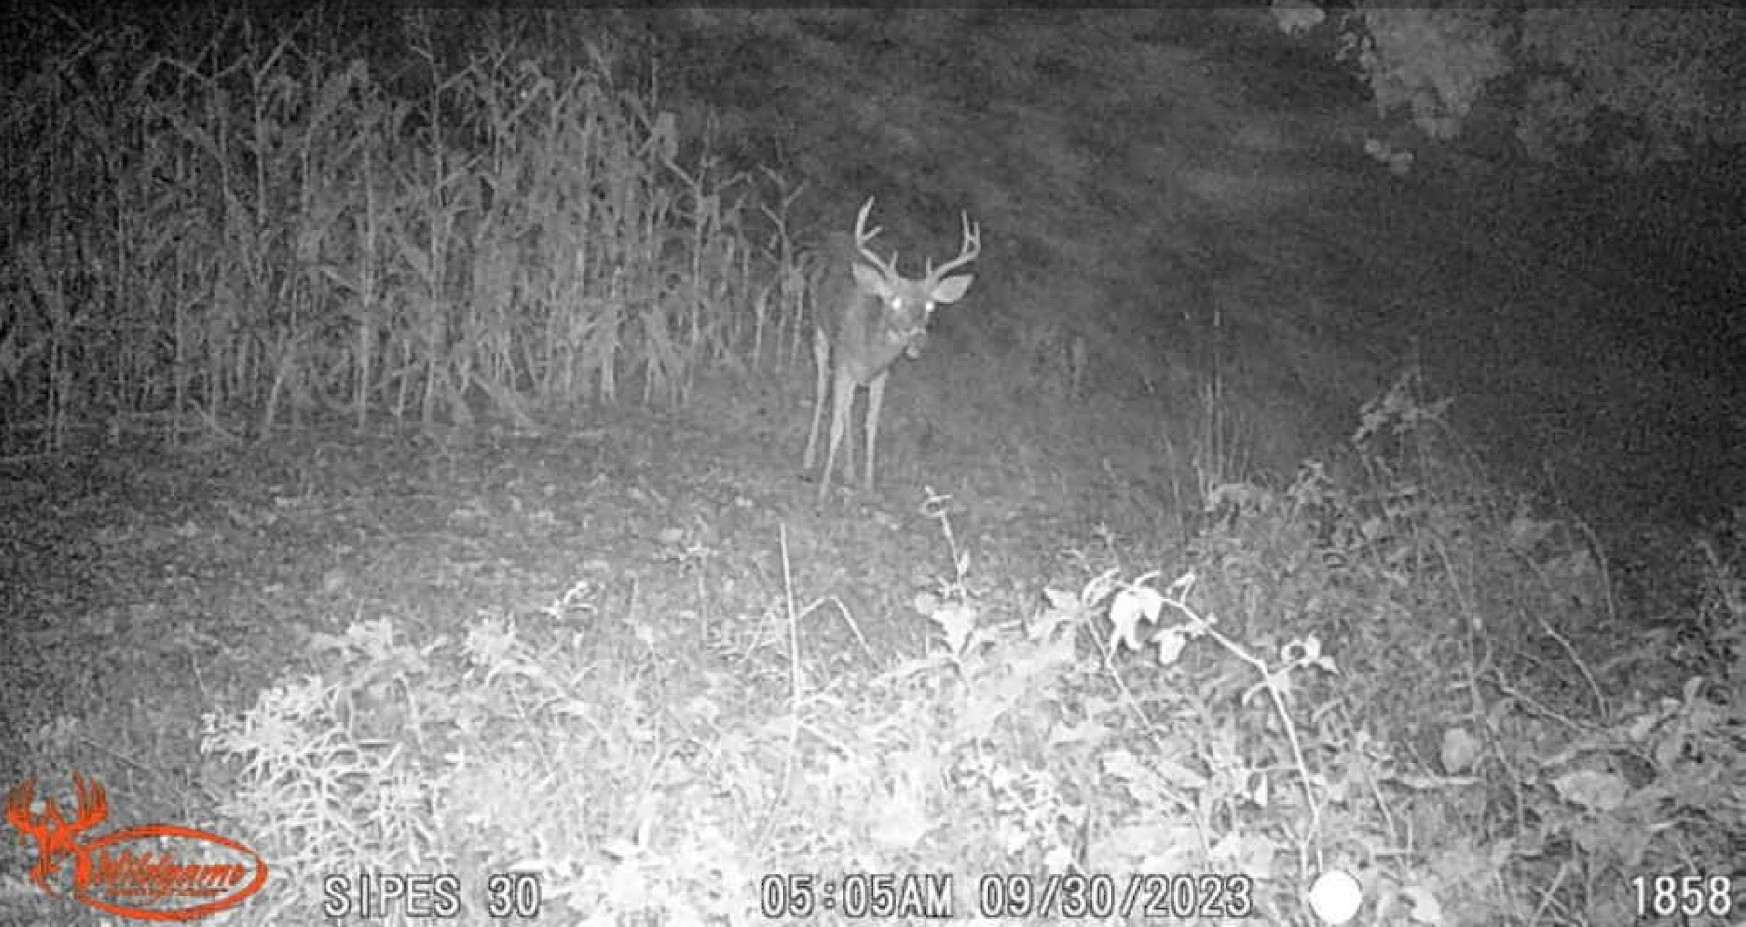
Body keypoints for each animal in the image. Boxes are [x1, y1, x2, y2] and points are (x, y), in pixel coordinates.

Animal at [803, 196, 981, 502]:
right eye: (894, 301)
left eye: (930, 306)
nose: (919, 339)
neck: (870, 353)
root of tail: (833, 237)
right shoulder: (844, 362)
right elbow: (836, 424)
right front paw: (823, 490)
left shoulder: (882, 375)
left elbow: (871, 424)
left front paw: (869, 485)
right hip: (820, 329)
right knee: (822, 389)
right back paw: (808, 460)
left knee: (848, 408)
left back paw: (849, 471)